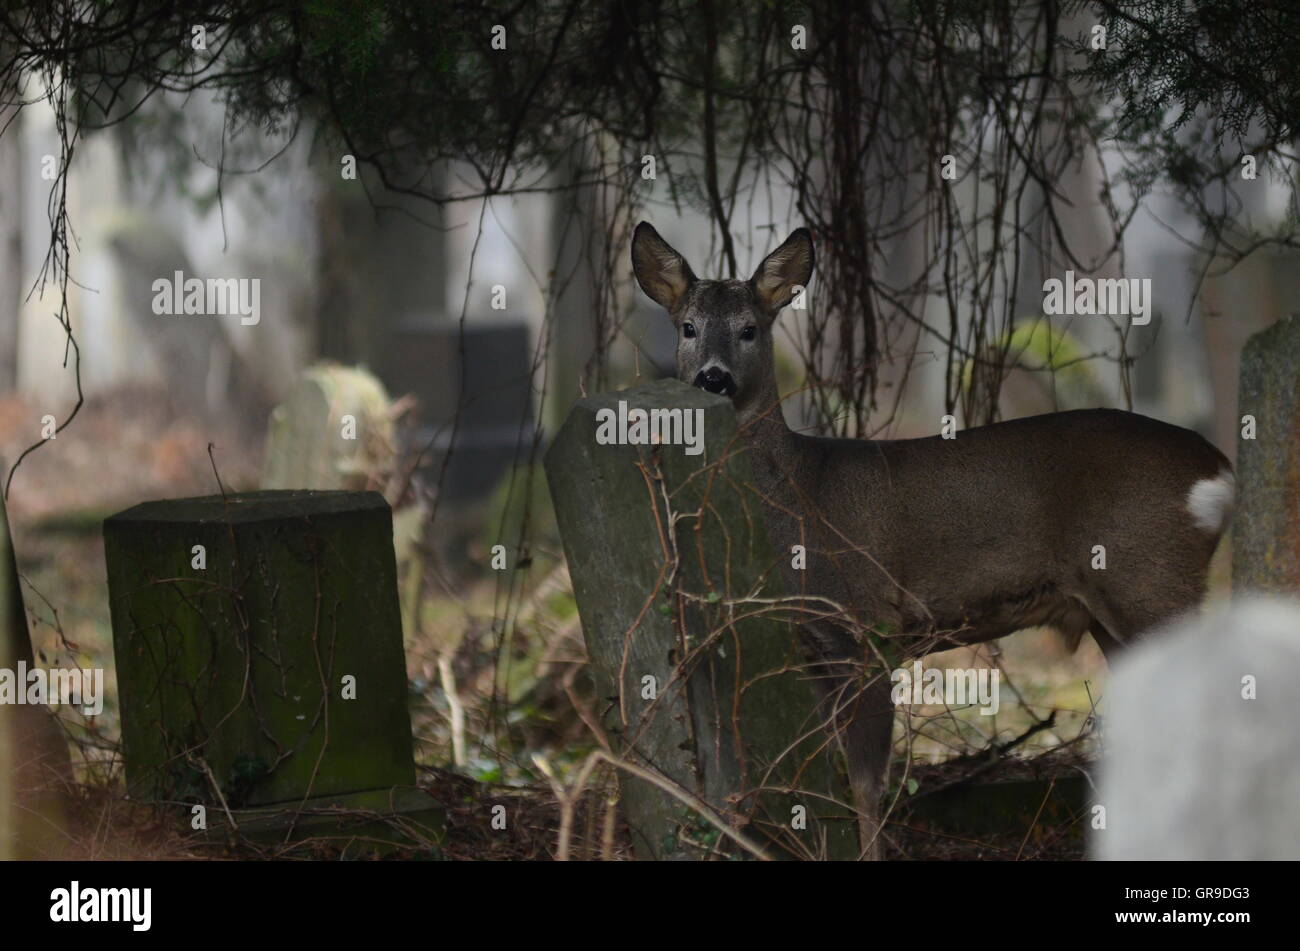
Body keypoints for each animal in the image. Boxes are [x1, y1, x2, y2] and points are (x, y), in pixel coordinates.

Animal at [631, 219, 1237, 857]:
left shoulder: (868, 627)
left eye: (750, 329)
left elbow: (868, 783)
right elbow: (833, 773)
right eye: (688, 326)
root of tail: (1219, 471)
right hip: (1113, 608)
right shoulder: (818, 647)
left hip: (1150, 577)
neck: (799, 498)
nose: (713, 378)